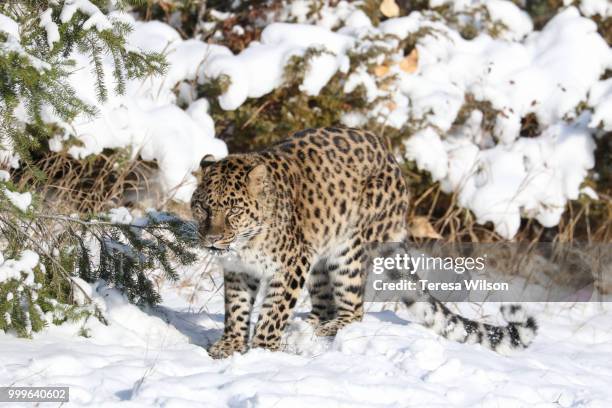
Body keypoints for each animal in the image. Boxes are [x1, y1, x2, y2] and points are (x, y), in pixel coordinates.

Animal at [191, 126, 536, 356]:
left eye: (234, 210)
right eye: (204, 207)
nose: (212, 239)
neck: (244, 245)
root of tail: (392, 160)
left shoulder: (291, 266)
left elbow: (274, 311)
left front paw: (263, 351)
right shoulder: (238, 271)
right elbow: (236, 309)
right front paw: (230, 345)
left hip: (348, 252)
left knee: (355, 309)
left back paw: (329, 327)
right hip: (321, 255)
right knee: (324, 304)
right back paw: (309, 326)